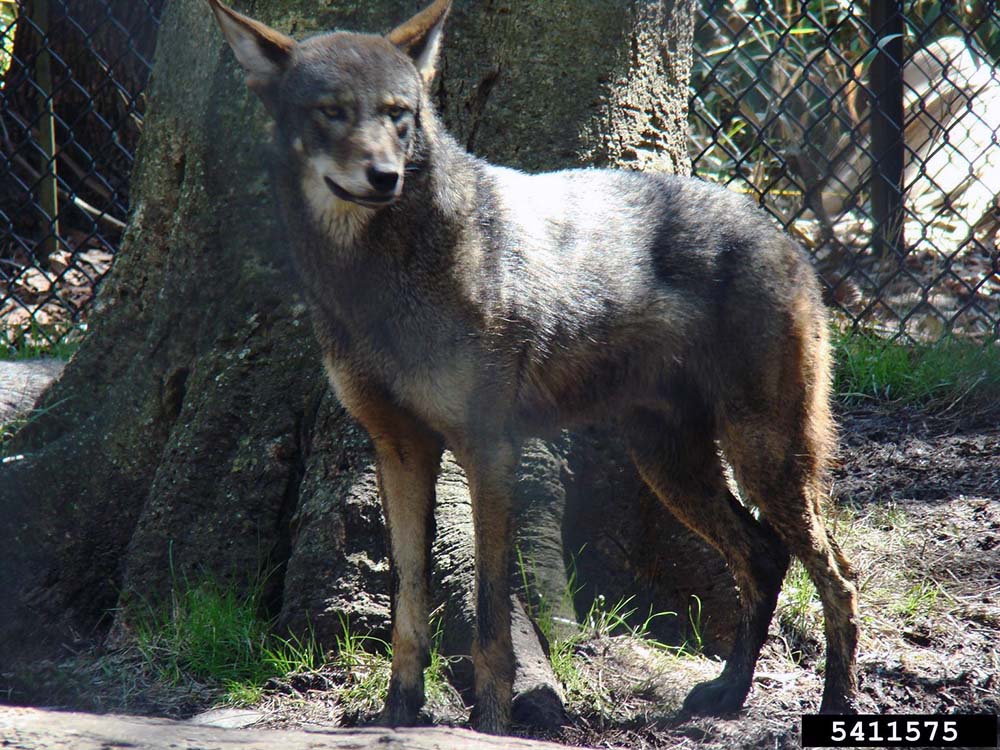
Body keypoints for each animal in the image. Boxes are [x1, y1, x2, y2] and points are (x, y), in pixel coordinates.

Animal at [206, 0, 859, 735]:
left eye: (399, 114)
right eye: (332, 111)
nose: (384, 177)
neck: (376, 281)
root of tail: (783, 233)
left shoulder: (489, 448)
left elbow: (491, 609)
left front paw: (491, 718)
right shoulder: (400, 449)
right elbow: (408, 596)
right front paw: (399, 707)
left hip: (762, 459)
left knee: (837, 576)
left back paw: (837, 702)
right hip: (672, 465)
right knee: (763, 555)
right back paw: (728, 693)